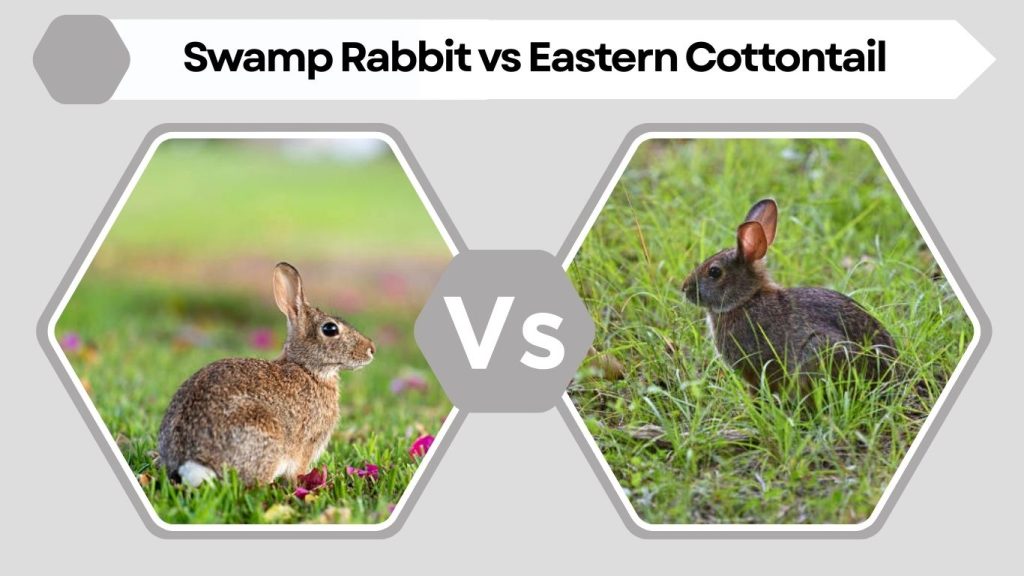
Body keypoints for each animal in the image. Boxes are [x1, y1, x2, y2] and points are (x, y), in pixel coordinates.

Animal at [158, 262, 376, 487]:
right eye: (330, 329)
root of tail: (192, 461)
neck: (307, 369)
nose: (371, 349)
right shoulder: (307, 443)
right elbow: (298, 471)